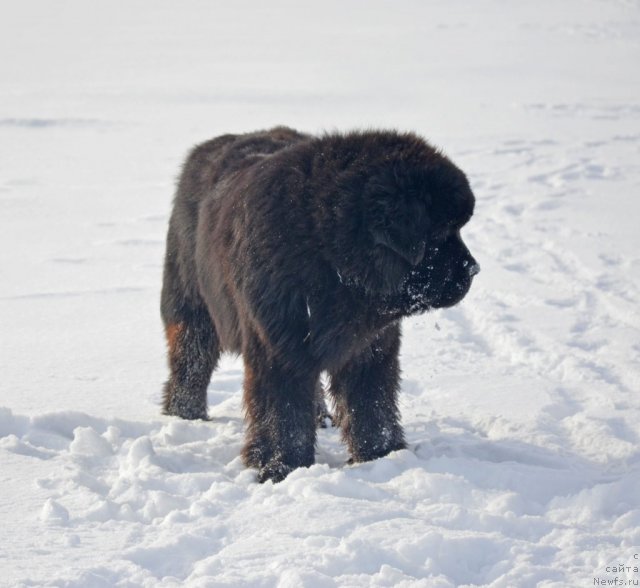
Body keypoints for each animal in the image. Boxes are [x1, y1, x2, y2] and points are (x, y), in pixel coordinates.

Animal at [162, 127, 478, 482]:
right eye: (441, 232)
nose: (473, 269)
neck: (329, 257)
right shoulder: (278, 346)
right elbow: (283, 413)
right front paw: (283, 466)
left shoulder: (369, 348)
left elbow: (372, 405)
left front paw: (382, 455)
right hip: (193, 306)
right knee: (191, 361)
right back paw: (185, 415)